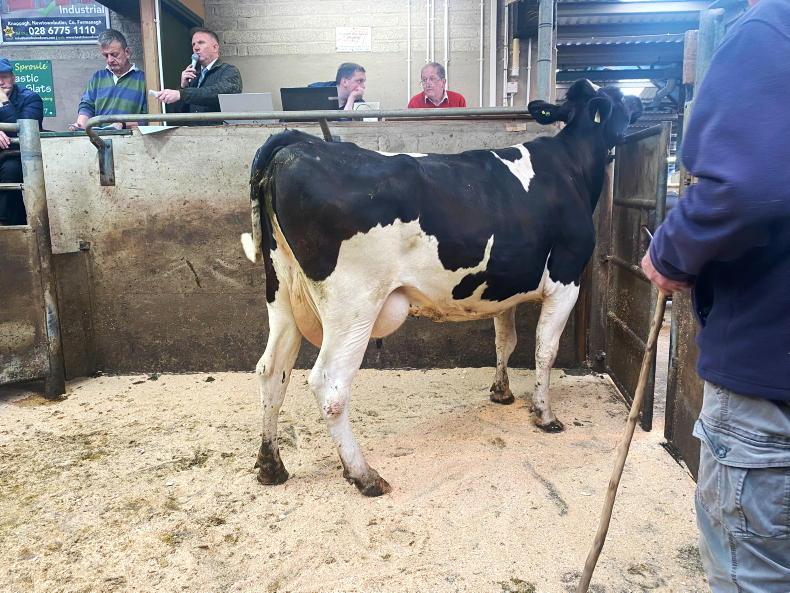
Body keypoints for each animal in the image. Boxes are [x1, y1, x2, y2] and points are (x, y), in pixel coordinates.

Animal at [241, 79, 642, 496]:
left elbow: (505, 341)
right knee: (329, 384)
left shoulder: (505, 287)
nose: (643, 102)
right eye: (618, 96)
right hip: (352, 304)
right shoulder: (567, 278)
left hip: (282, 292)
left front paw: (502, 392)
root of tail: (300, 144)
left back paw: (271, 465)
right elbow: (544, 351)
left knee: (271, 369)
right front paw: (545, 415)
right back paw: (364, 474)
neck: (570, 167)